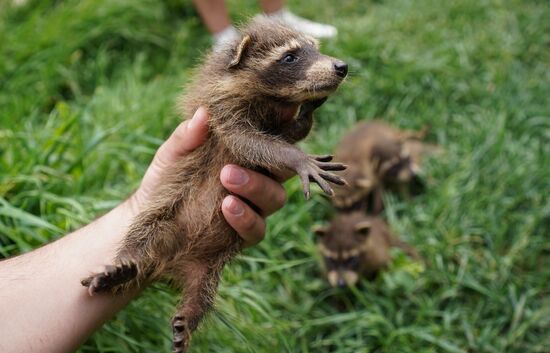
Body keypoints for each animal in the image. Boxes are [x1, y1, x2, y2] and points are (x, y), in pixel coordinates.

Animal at [81, 19, 350, 352]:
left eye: (315, 48)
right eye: (290, 57)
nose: (341, 66)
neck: (270, 98)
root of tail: (168, 263)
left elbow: (289, 133)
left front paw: (307, 112)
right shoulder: (220, 112)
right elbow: (249, 142)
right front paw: (298, 158)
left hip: (209, 266)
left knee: (203, 293)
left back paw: (189, 316)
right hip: (165, 215)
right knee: (142, 231)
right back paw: (122, 266)